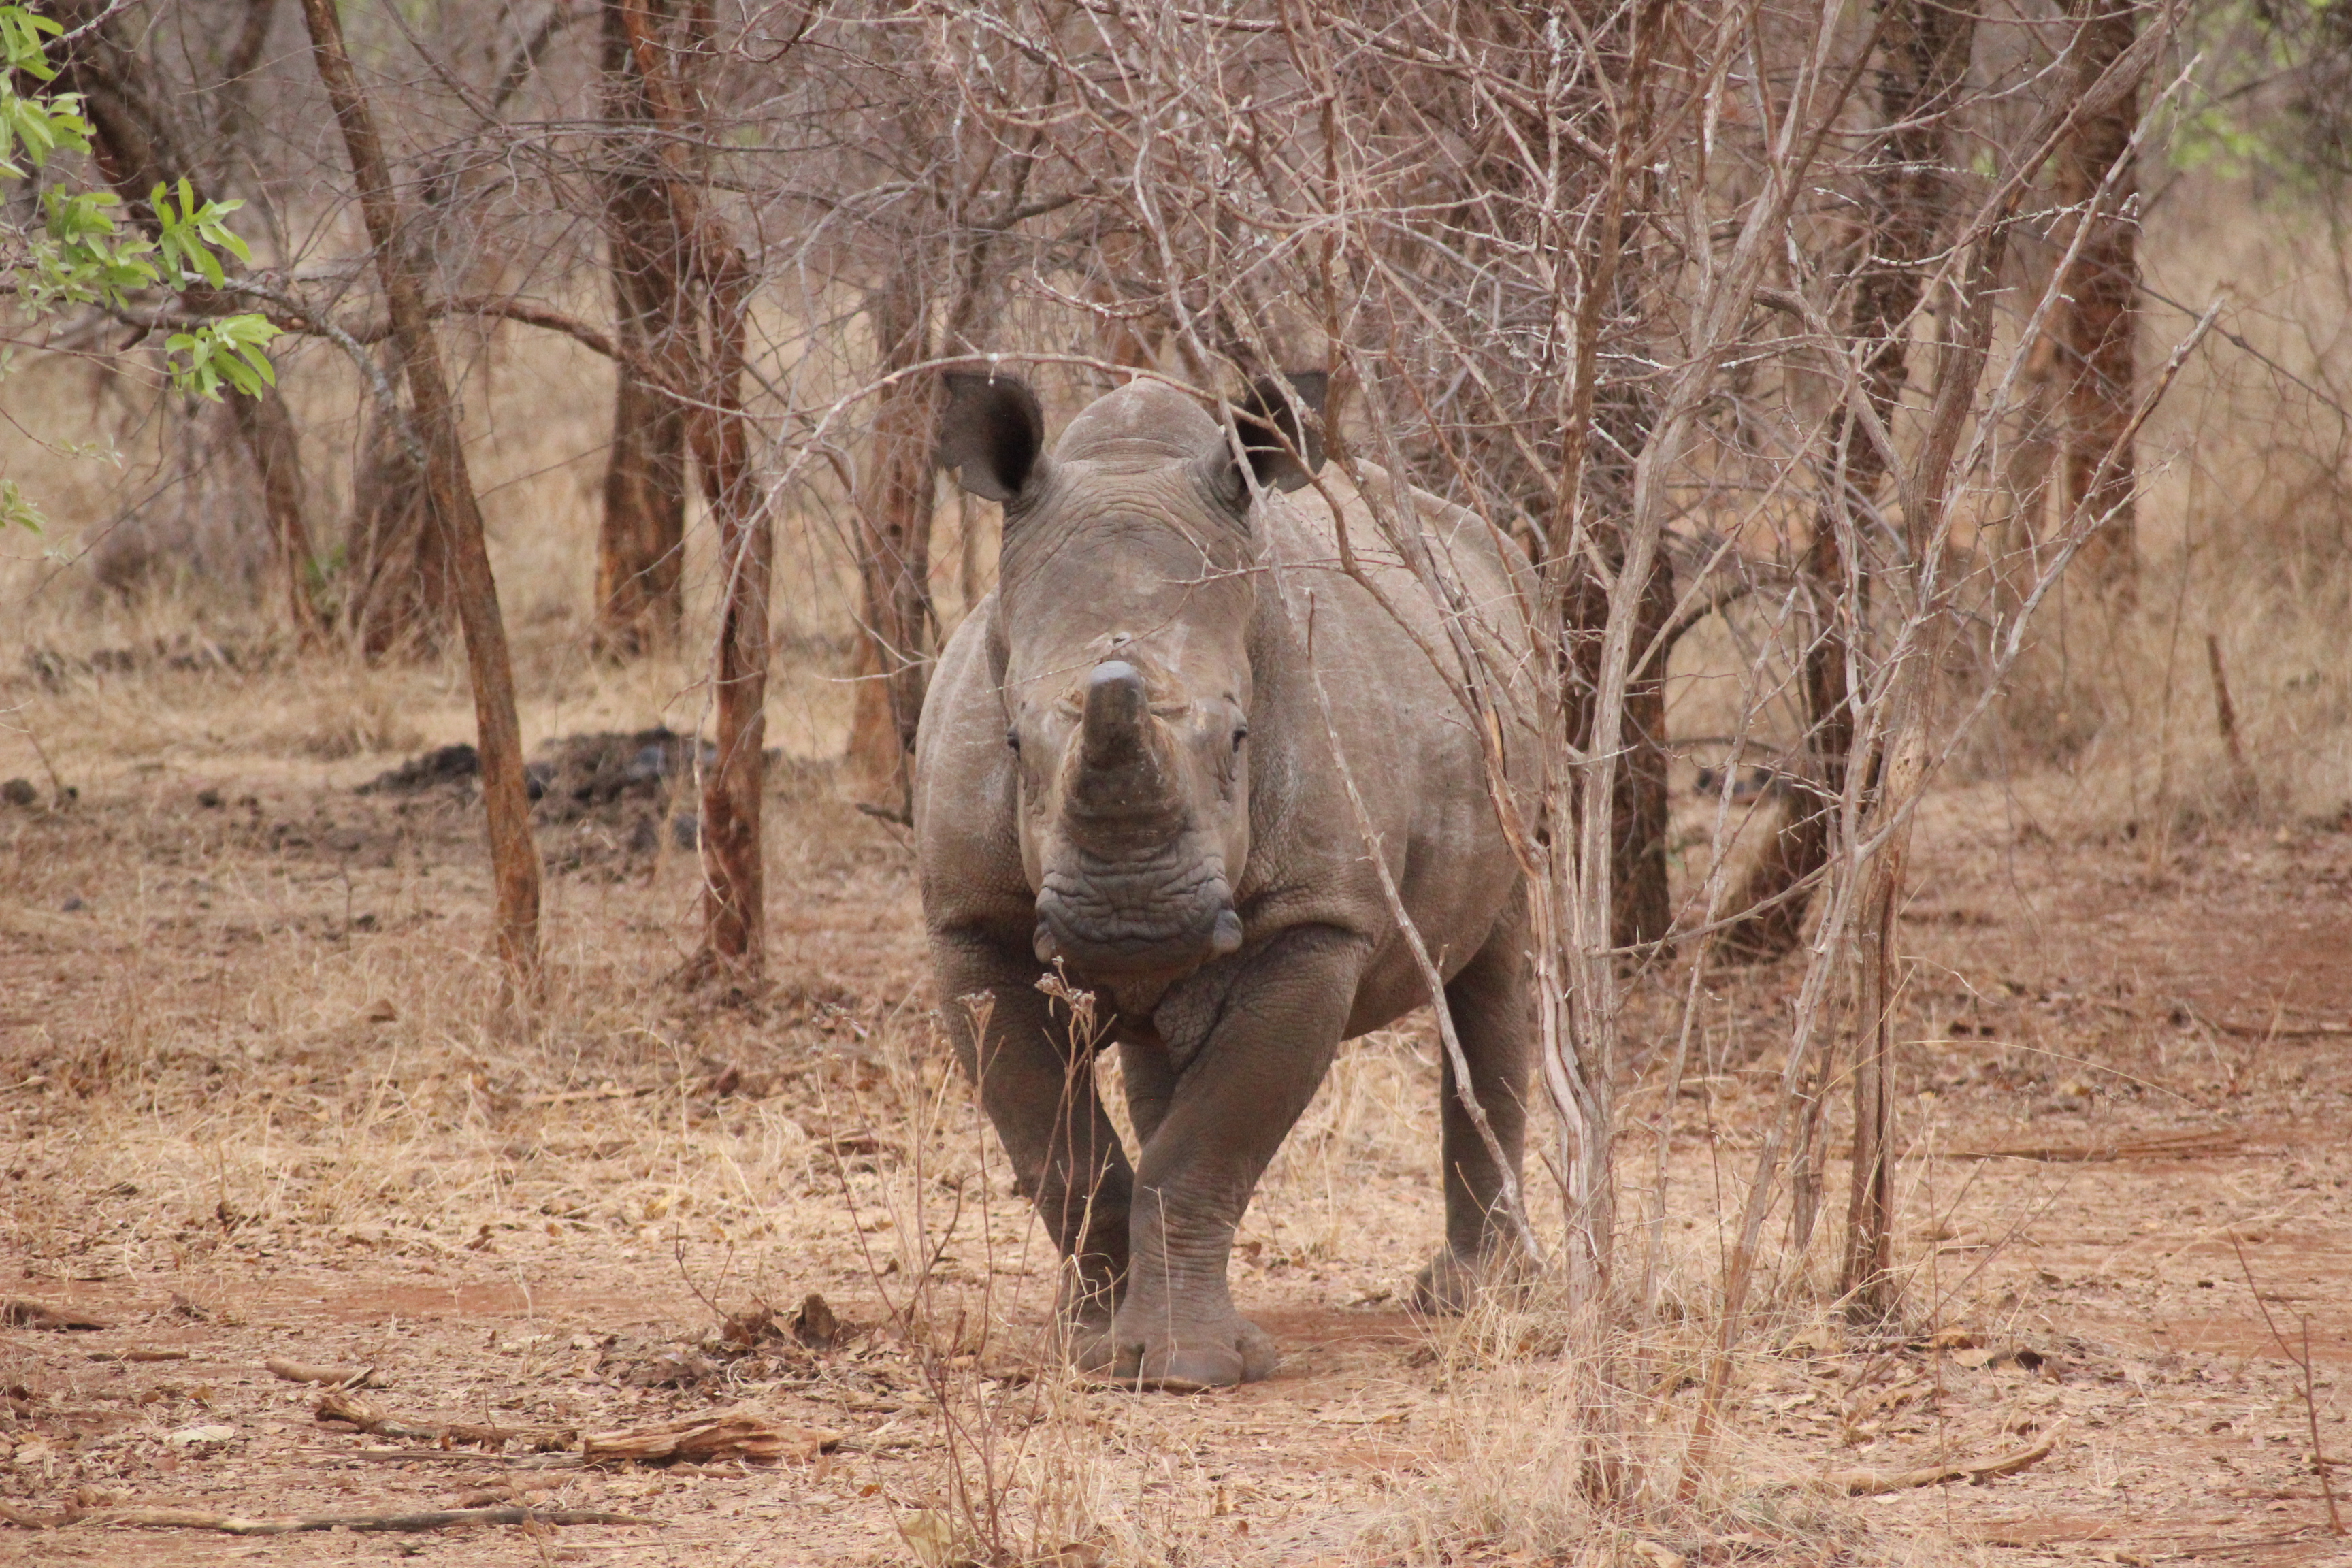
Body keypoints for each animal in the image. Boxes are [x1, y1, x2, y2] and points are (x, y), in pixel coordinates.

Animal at [912, 368, 1539, 1390]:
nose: (1132, 923)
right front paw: (1092, 1347)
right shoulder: (970, 924)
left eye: (1242, 736)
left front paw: (1186, 1371)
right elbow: (1062, 1149)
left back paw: (1474, 1299)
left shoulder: (1316, 922)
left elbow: (1210, 1144)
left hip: (1517, 681)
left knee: (1497, 960)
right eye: (1010, 742)